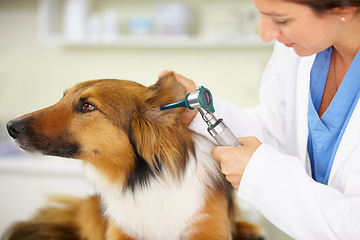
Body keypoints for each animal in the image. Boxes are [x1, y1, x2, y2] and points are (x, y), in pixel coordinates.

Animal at [3, 72, 264, 239]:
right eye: (62, 97)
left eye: (87, 106)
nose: (10, 127)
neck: (147, 182)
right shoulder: (121, 231)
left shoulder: (207, 226)